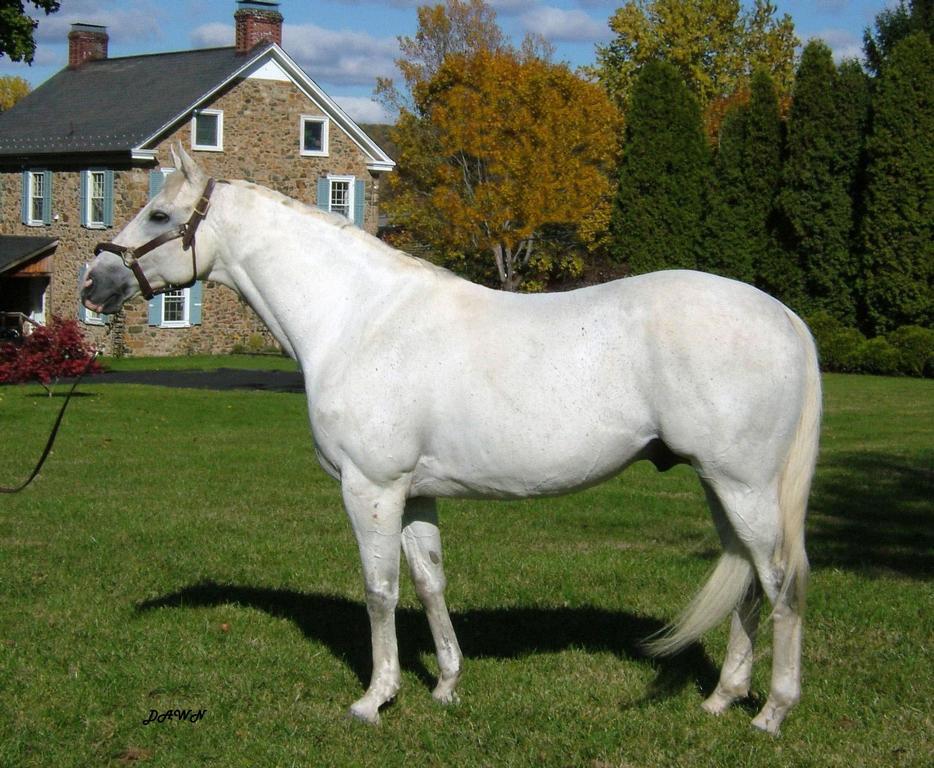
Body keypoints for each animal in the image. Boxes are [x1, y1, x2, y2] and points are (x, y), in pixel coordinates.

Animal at [81, 146, 821, 735]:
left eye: (159, 217)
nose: (94, 282)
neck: (357, 318)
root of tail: (784, 317)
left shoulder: (371, 488)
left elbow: (380, 590)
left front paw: (375, 699)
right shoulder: (413, 494)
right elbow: (430, 583)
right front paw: (445, 686)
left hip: (744, 487)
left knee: (781, 584)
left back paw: (771, 713)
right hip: (722, 488)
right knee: (749, 583)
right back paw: (721, 699)